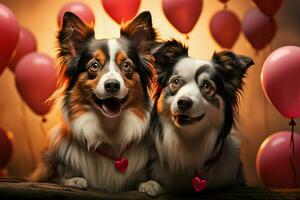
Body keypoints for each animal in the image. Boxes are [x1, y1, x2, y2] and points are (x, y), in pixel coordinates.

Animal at [29, 11, 158, 192]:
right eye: (94, 66)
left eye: (126, 65)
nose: (112, 85)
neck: (110, 127)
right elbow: (59, 178)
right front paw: (74, 179)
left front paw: (151, 184)